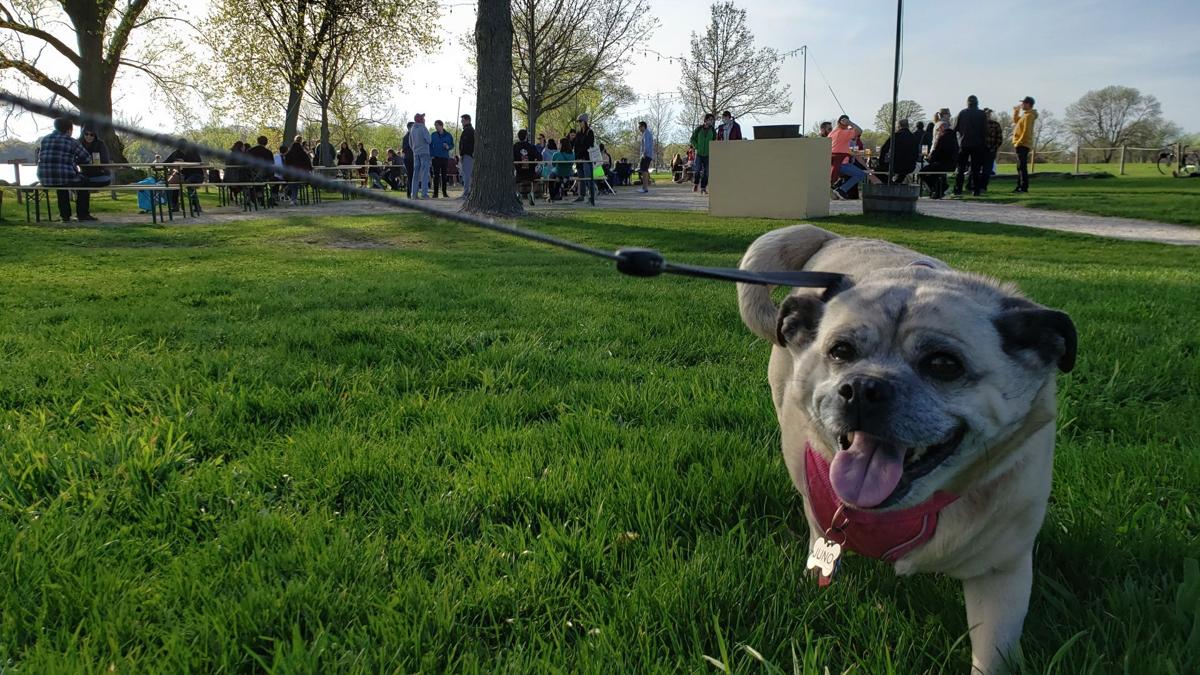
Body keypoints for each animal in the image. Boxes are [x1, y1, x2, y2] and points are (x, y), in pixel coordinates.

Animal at [734, 224, 1084, 667]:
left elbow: (993, 656)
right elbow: (820, 544)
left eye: (944, 365)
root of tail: (833, 235)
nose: (863, 387)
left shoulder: (1001, 575)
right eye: (840, 352)